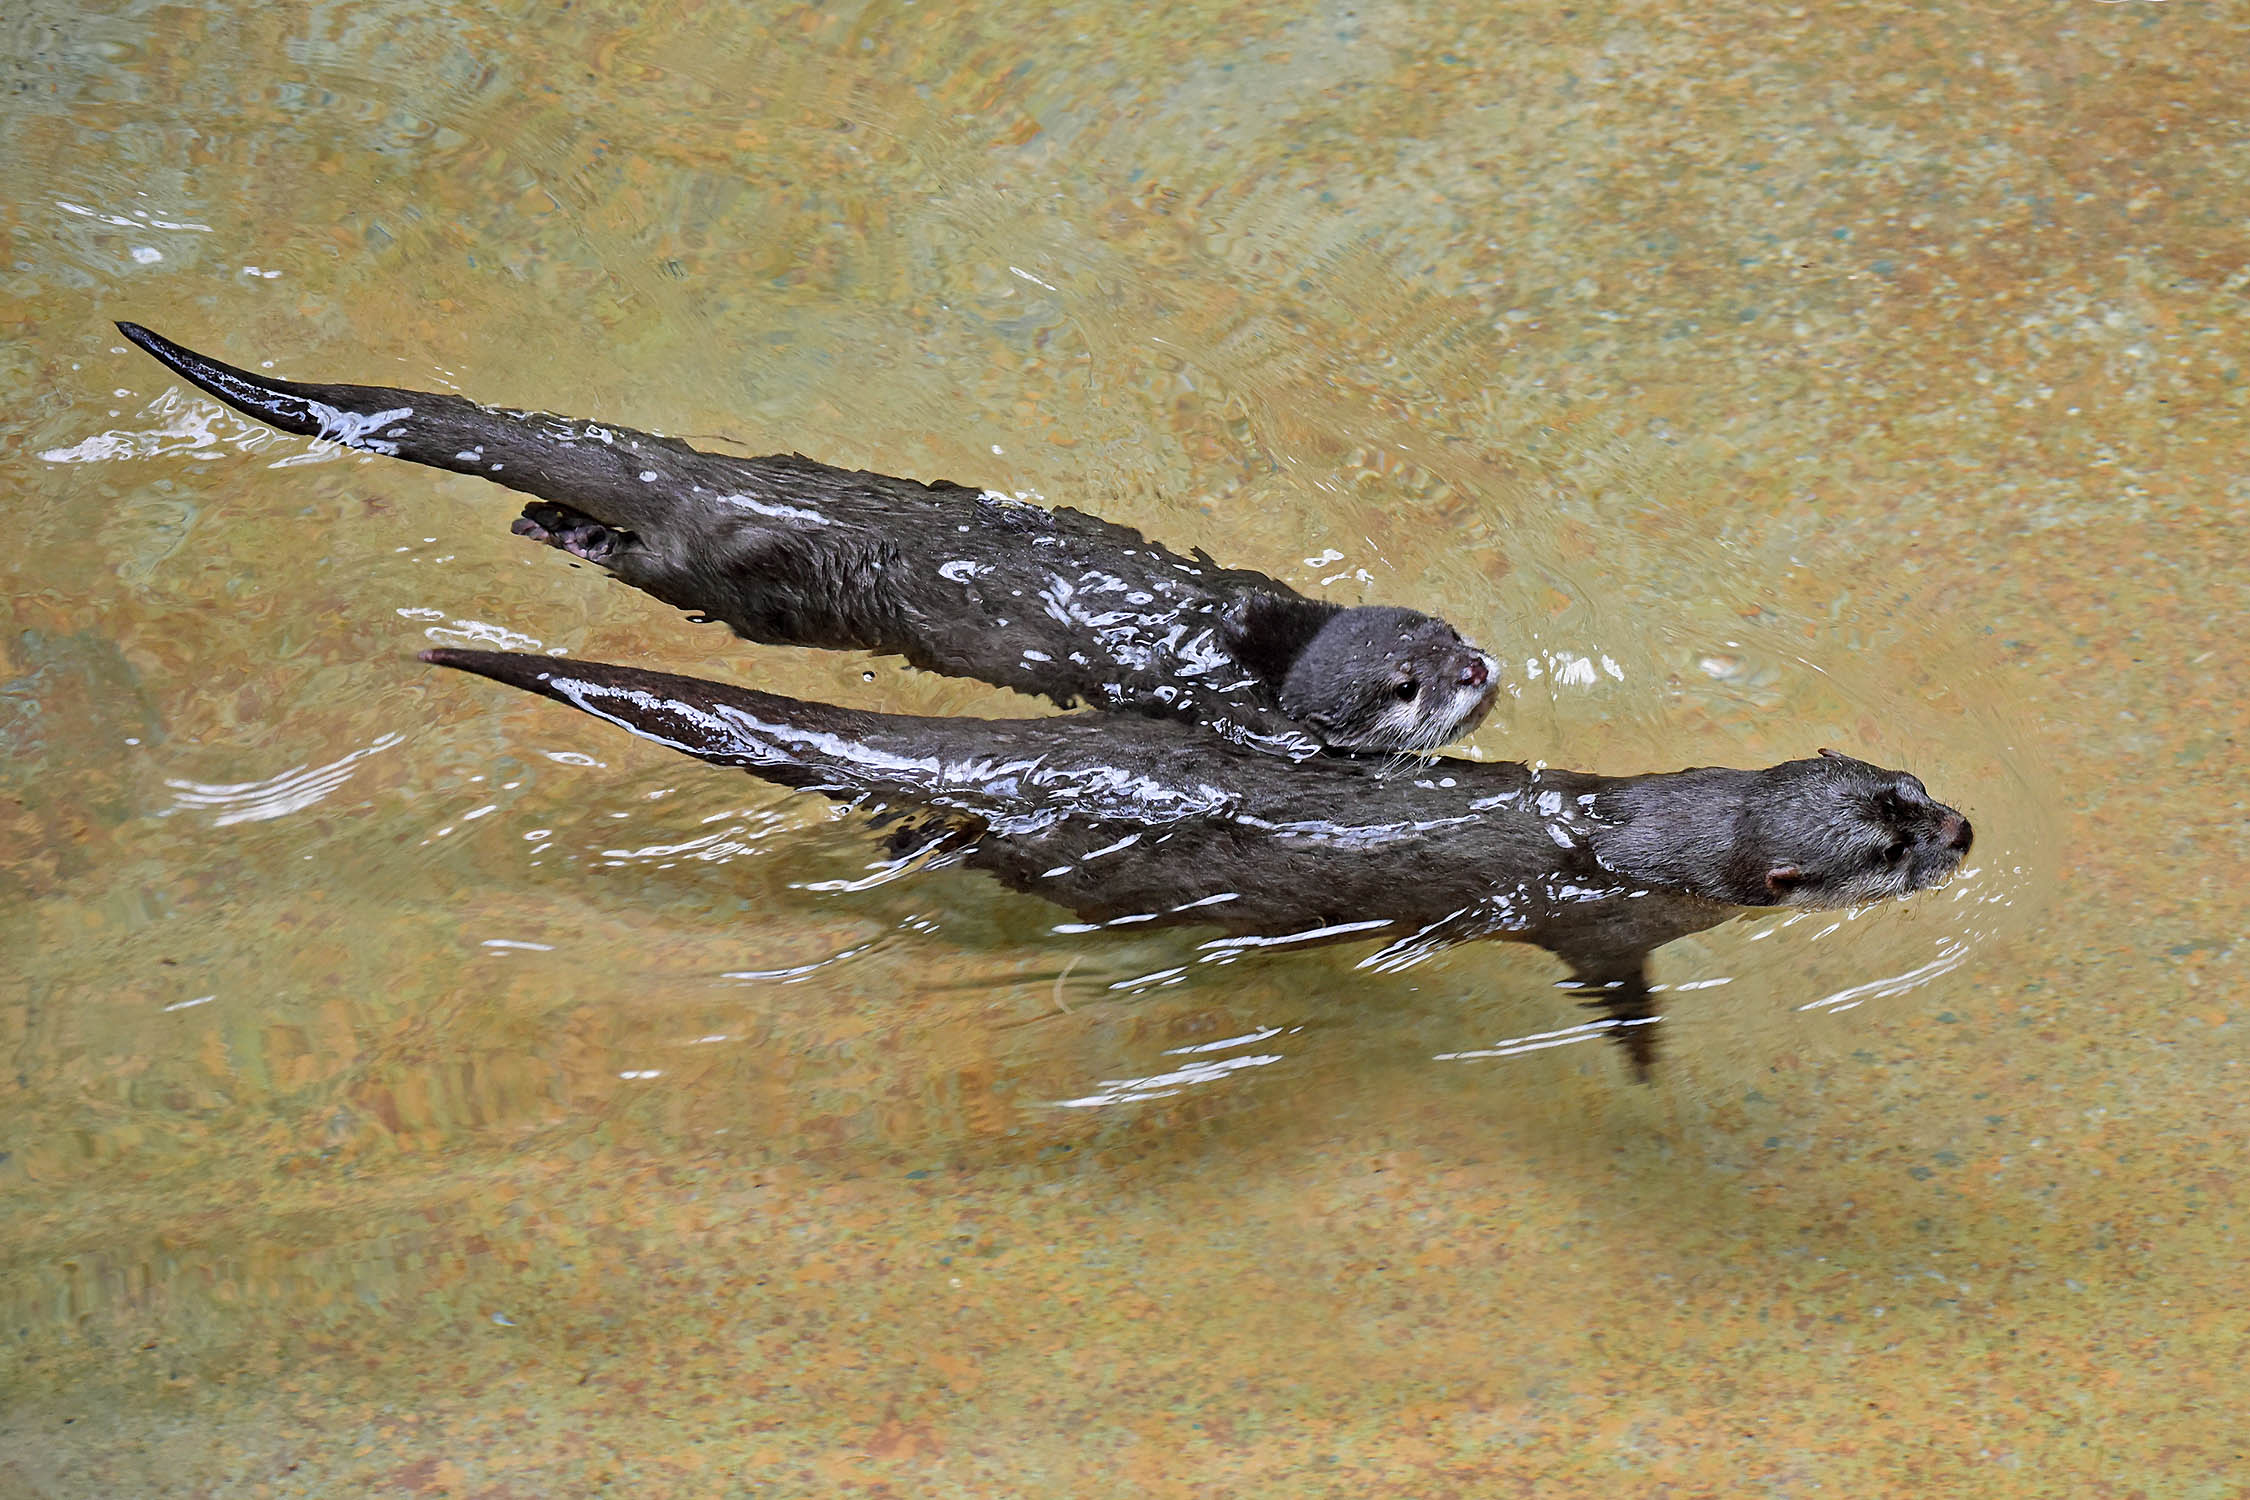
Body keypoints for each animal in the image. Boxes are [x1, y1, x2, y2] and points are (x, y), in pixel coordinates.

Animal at [116, 322, 1497, 759]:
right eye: (1407, 685)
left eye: (1454, 634)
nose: (1485, 672)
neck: (1265, 648)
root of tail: (703, 479)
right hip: (739, 582)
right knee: (651, 560)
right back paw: (561, 529)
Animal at [420, 649, 1974, 1074]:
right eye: (1883, 846)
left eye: (1909, 787)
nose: (1963, 832)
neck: (1621, 829)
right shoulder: (1601, 929)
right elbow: (1615, 995)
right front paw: (1644, 1060)